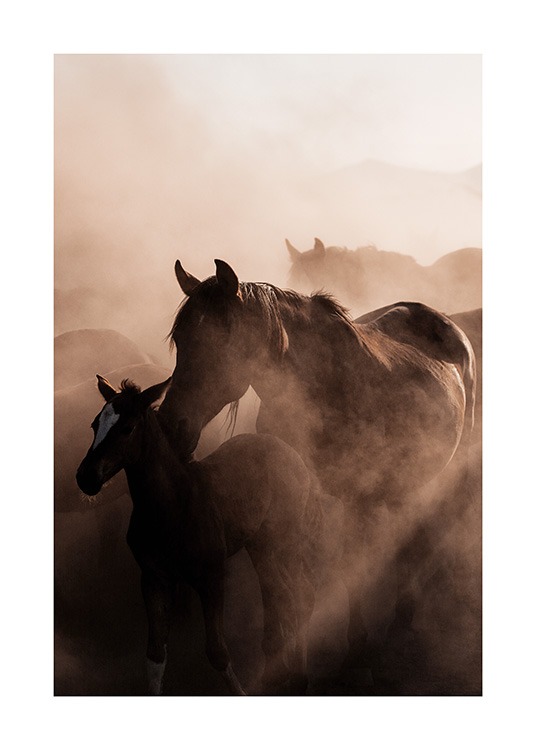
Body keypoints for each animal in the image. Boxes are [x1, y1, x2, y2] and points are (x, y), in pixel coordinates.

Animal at [76, 375, 318, 696]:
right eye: (94, 425)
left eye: (127, 428)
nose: (85, 478)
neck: (172, 505)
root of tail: (288, 449)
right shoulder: (154, 578)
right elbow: (155, 656)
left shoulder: (212, 577)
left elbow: (217, 652)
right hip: (259, 545)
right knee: (279, 593)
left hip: (285, 538)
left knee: (301, 594)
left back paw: (299, 674)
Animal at [159, 257, 477, 671]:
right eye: (180, 341)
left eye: (218, 341)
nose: (170, 426)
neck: (323, 384)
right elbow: (286, 578)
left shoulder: (355, 498)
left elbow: (345, 570)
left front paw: (355, 645)